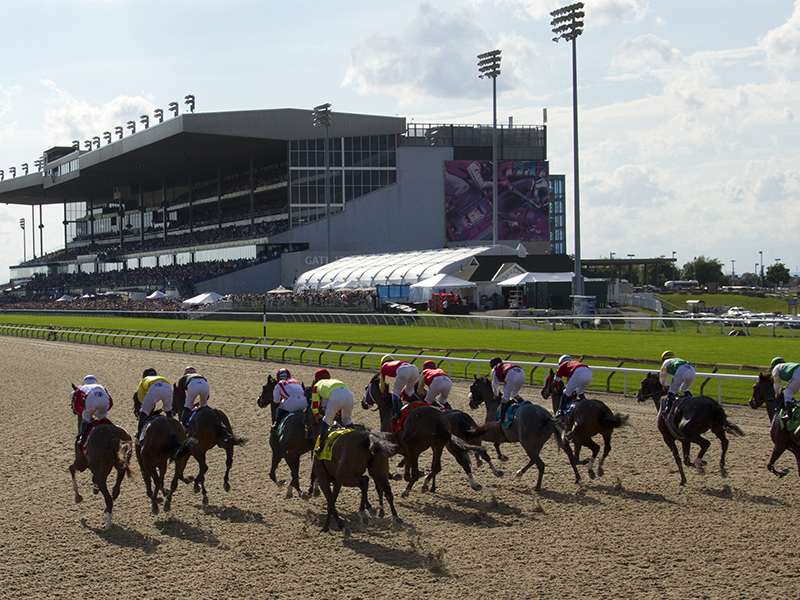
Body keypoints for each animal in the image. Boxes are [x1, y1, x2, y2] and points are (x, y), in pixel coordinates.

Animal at [362, 376, 494, 496]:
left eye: (366, 388)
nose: (362, 403)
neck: (389, 408)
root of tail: (437, 419)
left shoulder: (394, 443)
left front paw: (397, 475)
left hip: (421, 448)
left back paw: (408, 490)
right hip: (440, 445)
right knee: (438, 467)